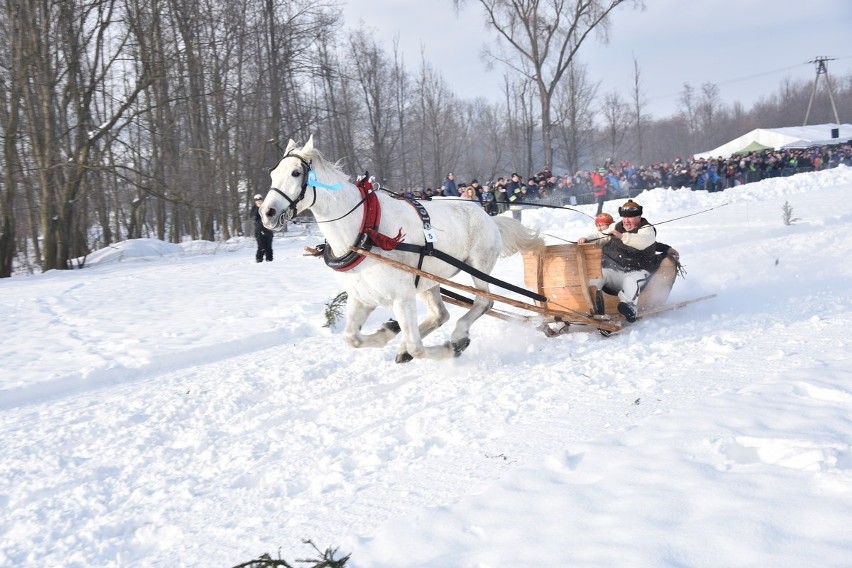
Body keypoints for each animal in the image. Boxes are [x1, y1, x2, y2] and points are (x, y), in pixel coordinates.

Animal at [260, 135, 544, 362]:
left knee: (484, 301)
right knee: (441, 314)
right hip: (430, 280)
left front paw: (450, 348)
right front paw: (389, 332)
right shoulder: (362, 298)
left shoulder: (402, 297)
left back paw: (458, 335)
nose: (267, 212)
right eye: (273, 174)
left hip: (478, 266)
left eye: (296, 173)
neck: (364, 232)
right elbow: (352, 338)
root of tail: (488, 216)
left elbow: (418, 348)